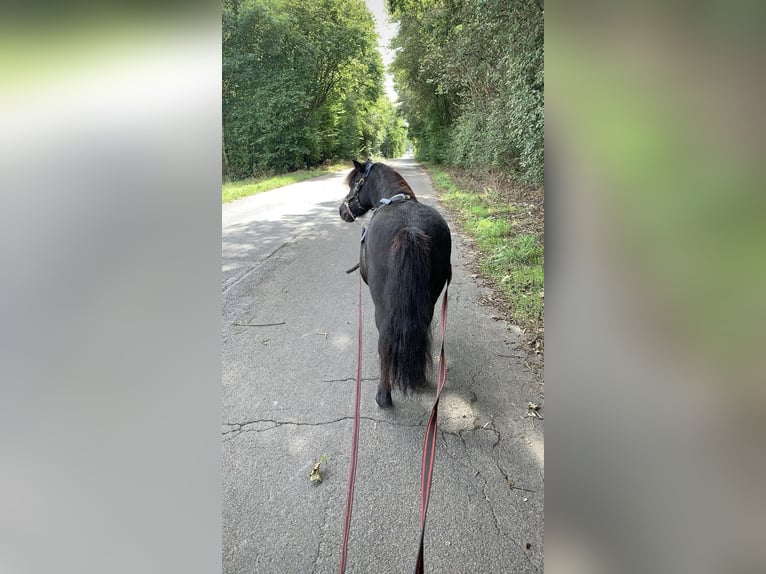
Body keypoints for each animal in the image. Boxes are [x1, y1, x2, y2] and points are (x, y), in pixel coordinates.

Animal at [340, 160, 452, 408]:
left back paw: (383, 395)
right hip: (429, 300)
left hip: (382, 306)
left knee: (385, 340)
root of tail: (410, 229)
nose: (342, 211)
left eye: (354, 184)